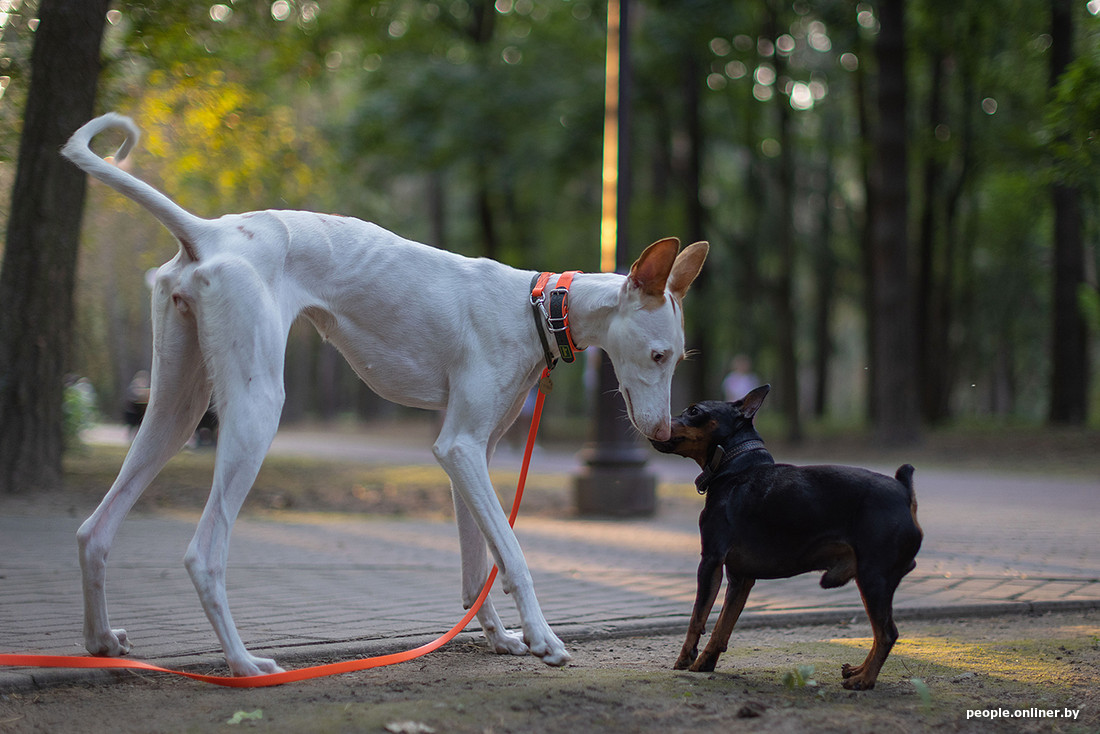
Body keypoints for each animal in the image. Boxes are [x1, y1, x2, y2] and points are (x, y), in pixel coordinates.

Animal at [62, 113, 712, 677]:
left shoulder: (470, 453)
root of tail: (211, 232)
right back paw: (244, 665)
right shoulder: (458, 448)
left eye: (679, 358)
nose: (662, 435)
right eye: (658, 355)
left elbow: (478, 563)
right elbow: (514, 554)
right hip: (254, 409)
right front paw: (543, 638)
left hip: (175, 409)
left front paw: (500, 637)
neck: (535, 307)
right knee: (204, 553)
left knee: (94, 531)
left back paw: (101, 640)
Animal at [646, 387, 924, 691]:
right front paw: (706, 662)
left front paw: (685, 659)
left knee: (887, 633)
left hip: (873, 578)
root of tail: (904, 491)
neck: (735, 468)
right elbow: (723, 627)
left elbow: (698, 617)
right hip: (874, 581)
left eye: (694, 411)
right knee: (879, 632)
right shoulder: (741, 578)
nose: (657, 422)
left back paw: (864, 680)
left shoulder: (711, 561)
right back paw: (858, 670)